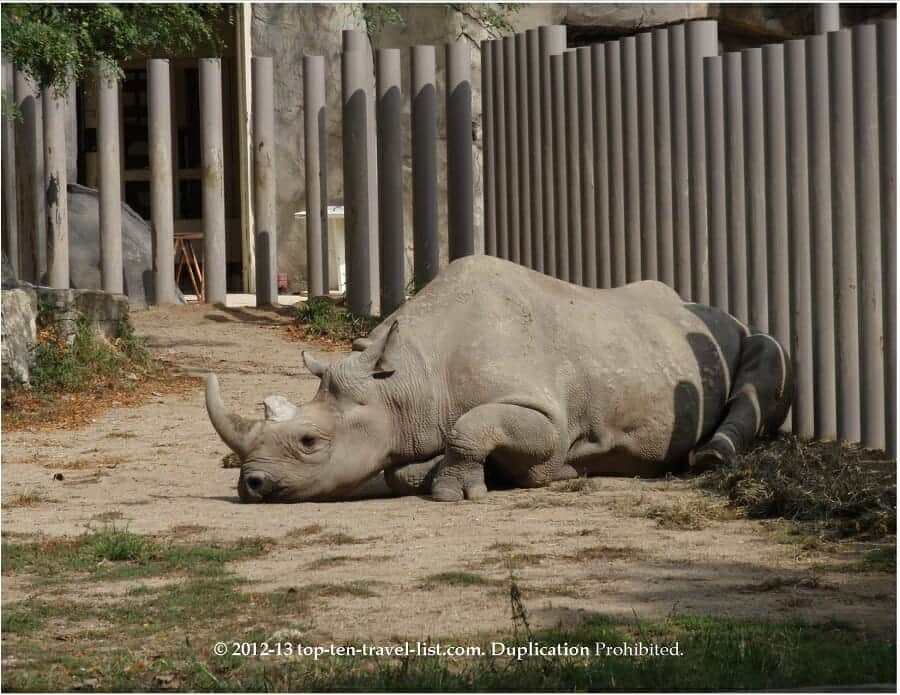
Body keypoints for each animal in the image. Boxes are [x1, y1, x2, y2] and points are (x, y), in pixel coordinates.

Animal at [206, 255, 792, 503]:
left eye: (309, 442)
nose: (251, 486)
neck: (407, 379)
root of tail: (721, 312)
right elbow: (405, 467)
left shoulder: (547, 417)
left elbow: (473, 428)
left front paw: (454, 492)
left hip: (735, 334)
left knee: (766, 359)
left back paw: (708, 460)